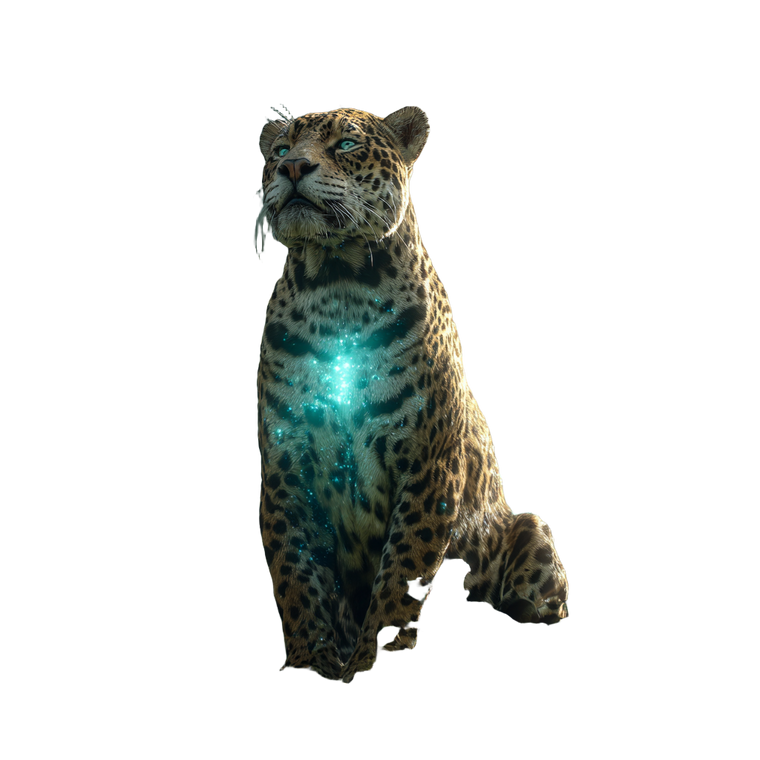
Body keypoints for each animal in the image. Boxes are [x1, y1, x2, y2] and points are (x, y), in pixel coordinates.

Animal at [254, 101, 571, 687]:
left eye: (346, 144)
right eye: (280, 150)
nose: (292, 168)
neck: (337, 287)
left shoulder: (429, 463)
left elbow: (403, 569)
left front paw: (375, 659)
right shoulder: (284, 465)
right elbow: (294, 575)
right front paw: (309, 663)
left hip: (531, 532)